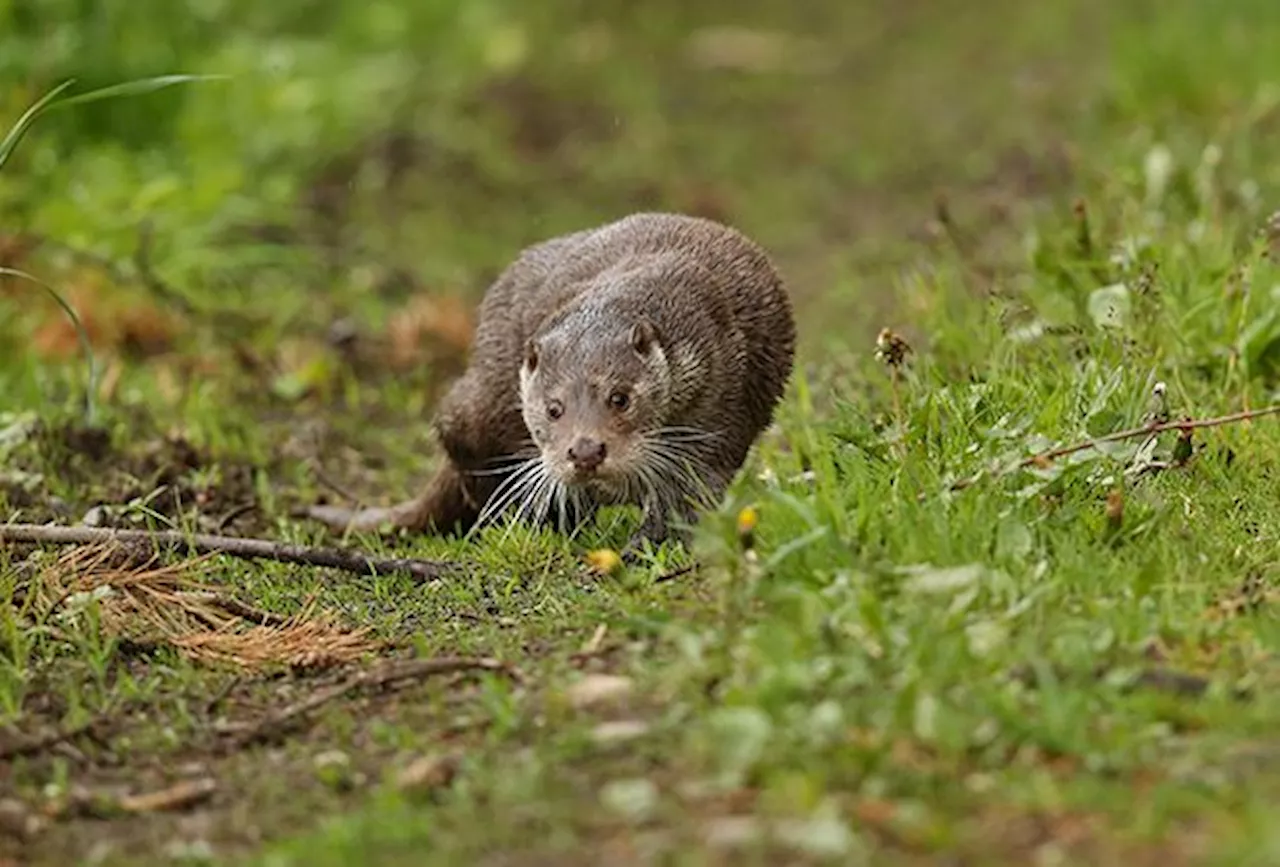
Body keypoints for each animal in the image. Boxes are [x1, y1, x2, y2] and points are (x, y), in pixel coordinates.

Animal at [304, 210, 793, 555]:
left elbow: (687, 492)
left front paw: (648, 547)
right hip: (480, 404)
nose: (586, 450)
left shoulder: (717, 410)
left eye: (620, 398)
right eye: (553, 408)